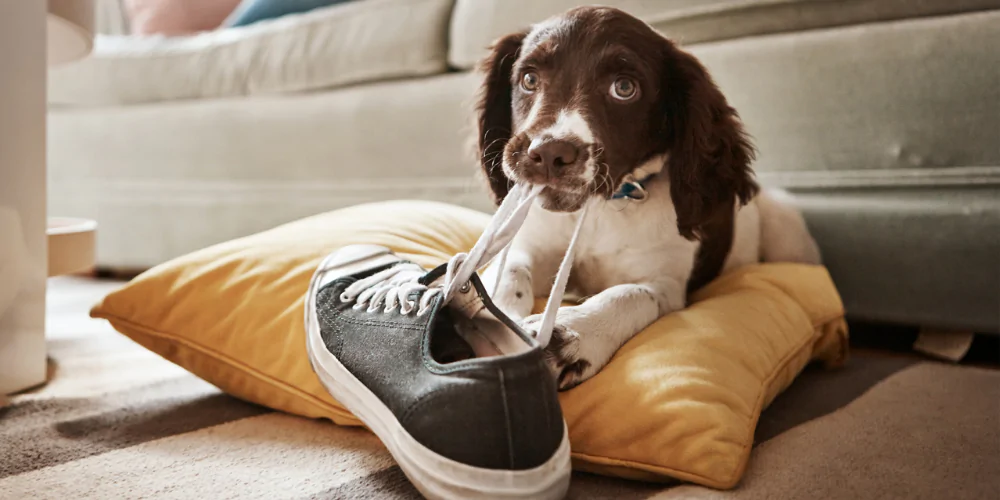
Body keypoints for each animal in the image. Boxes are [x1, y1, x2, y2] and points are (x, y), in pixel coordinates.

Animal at [476, 6, 820, 390]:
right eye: (529, 79)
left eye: (625, 88)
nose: (549, 154)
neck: (601, 210)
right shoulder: (534, 244)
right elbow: (509, 270)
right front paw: (495, 315)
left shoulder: (667, 286)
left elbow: (628, 295)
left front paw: (568, 335)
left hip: (787, 228)